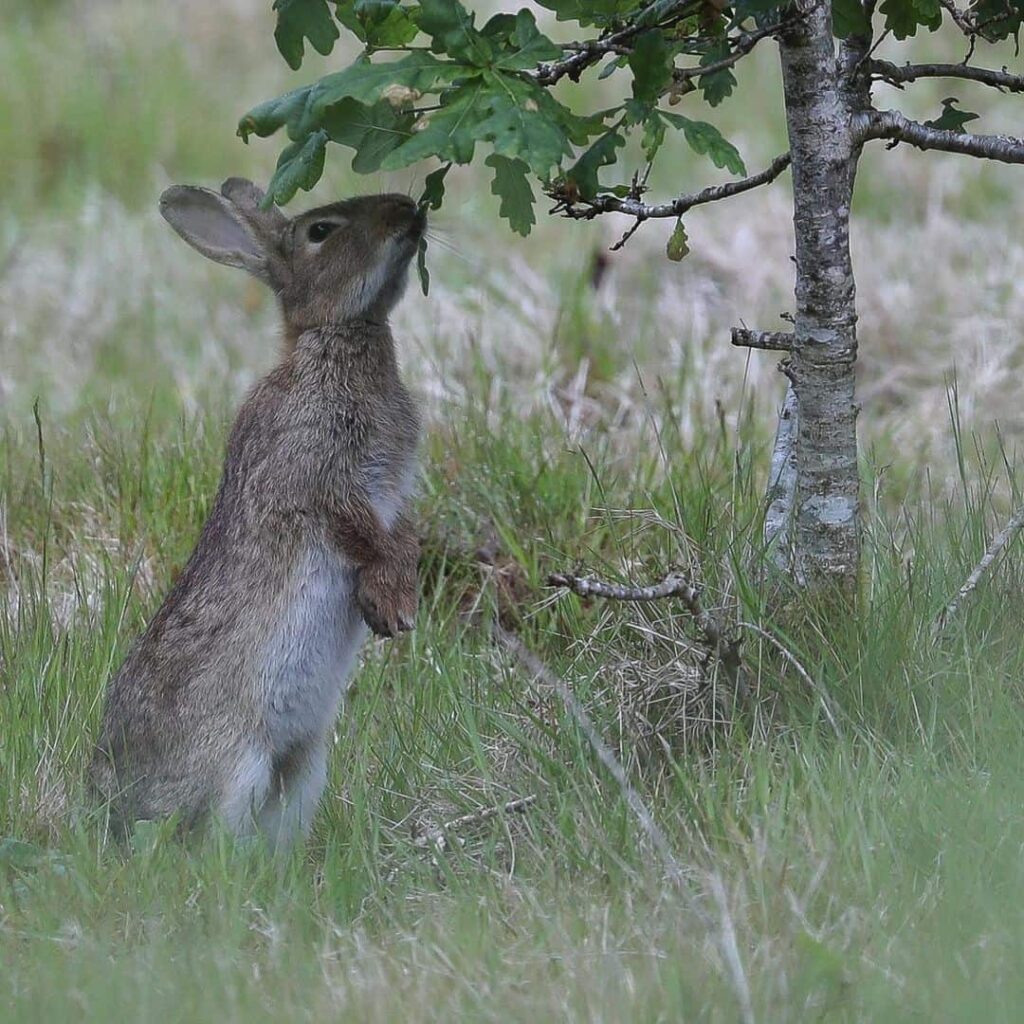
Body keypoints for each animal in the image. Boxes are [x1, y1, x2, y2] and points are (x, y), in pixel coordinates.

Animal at [89, 178, 424, 848]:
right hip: (236, 765)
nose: (410, 210)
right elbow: (360, 534)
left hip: (305, 767)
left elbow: (393, 536)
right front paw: (394, 603)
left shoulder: (386, 493)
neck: (333, 334)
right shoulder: (314, 476)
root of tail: (113, 812)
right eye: (320, 231)